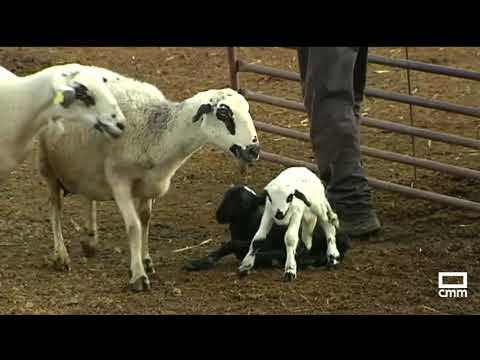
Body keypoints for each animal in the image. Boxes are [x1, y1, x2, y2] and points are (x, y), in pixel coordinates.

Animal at [38, 64, 260, 292]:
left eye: (247, 110)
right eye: (224, 113)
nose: (254, 150)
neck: (156, 131)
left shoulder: (149, 183)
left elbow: (145, 219)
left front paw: (146, 261)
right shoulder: (119, 181)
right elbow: (134, 226)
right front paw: (138, 276)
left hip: (84, 162)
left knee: (87, 195)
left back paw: (89, 241)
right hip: (47, 163)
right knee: (54, 206)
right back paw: (61, 256)